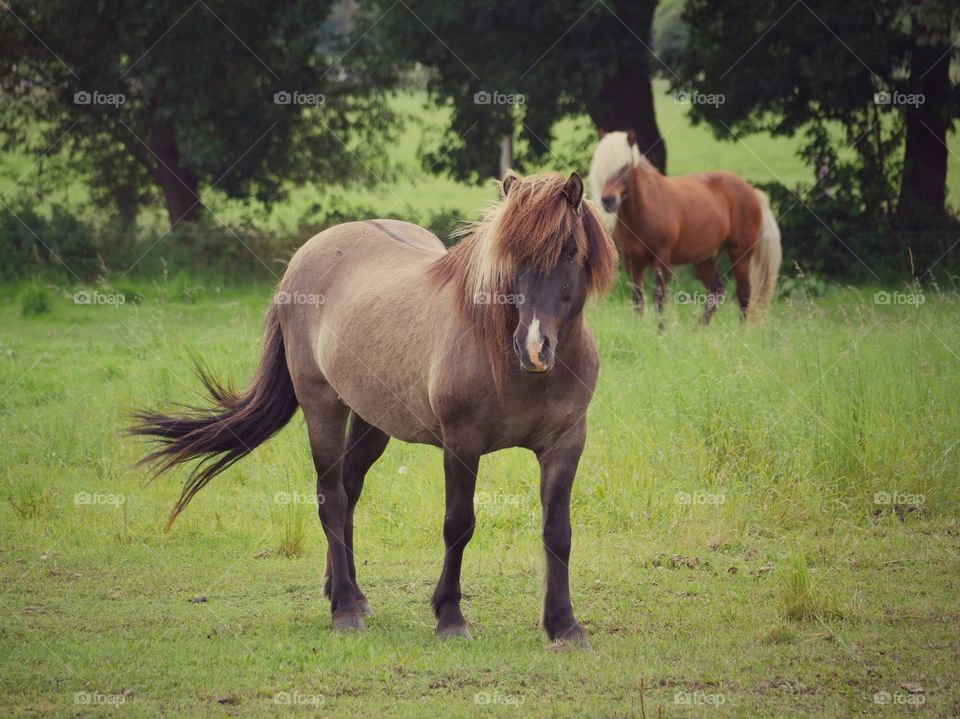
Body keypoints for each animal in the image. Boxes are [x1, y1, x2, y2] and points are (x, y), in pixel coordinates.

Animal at [129, 172, 616, 648]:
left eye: (569, 251)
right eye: (509, 256)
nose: (533, 347)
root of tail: (301, 260)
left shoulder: (565, 444)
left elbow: (557, 531)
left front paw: (564, 626)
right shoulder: (461, 443)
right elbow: (459, 524)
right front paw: (450, 618)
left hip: (369, 419)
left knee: (348, 491)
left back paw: (347, 593)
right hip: (322, 406)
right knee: (331, 496)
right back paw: (344, 609)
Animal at [584, 129, 780, 324]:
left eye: (625, 167)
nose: (608, 201)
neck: (645, 210)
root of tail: (753, 193)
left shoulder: (662, 257)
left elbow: (659, 297)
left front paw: (660, 329)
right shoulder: (632, 260)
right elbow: (637, 298)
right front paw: (638, 327)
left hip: (740, 254)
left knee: (744, 293)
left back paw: (740, 329)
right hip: (705, 260)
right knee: (716, 291)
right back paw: (698, 328)